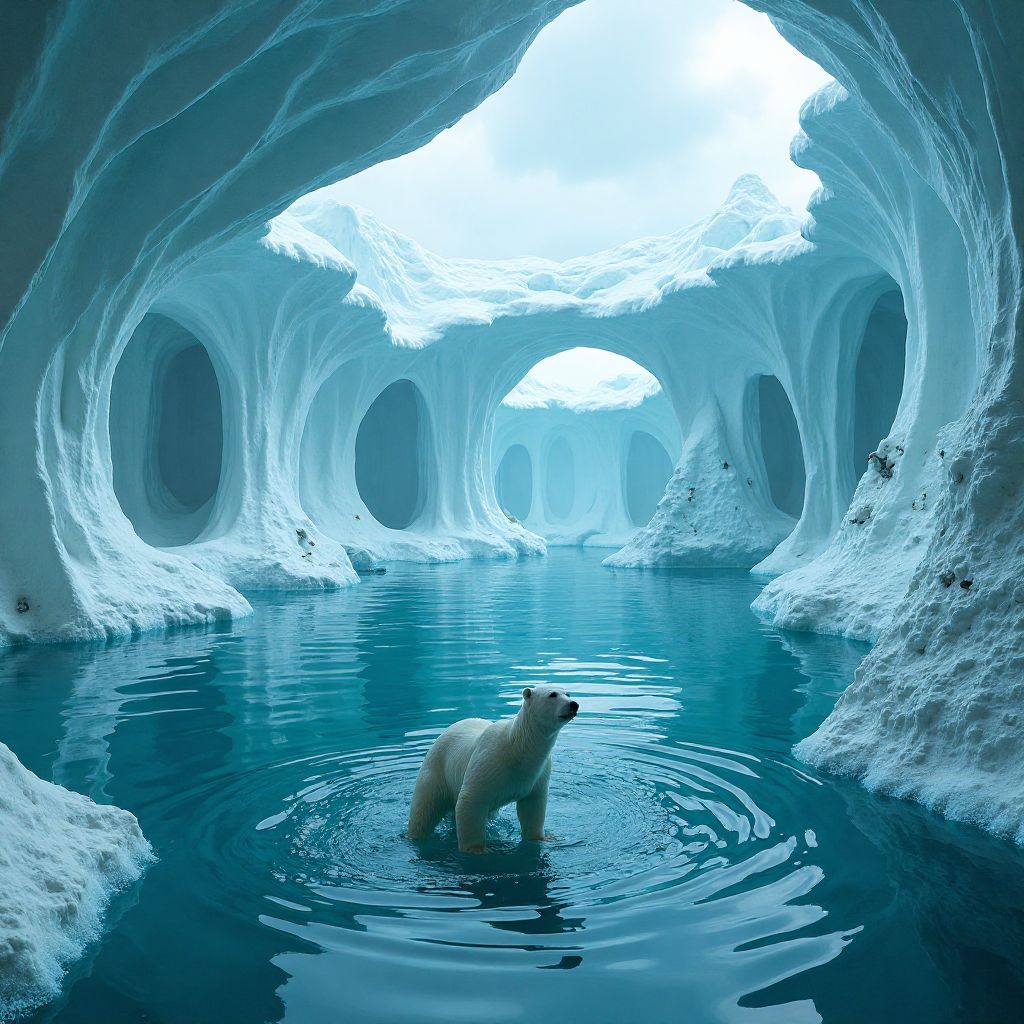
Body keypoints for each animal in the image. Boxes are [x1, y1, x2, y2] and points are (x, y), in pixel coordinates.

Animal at [406, 685, 579, 853]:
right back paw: (414, 835)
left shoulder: (538, 772)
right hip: (436, 771)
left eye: (567, 694)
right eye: (552, 694)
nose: (574, 705)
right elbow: (470, 801)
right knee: (424, 809)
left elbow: (532, 807)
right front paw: (477, 850)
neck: (518, 748)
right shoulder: (489, 761)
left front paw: (543, 838)